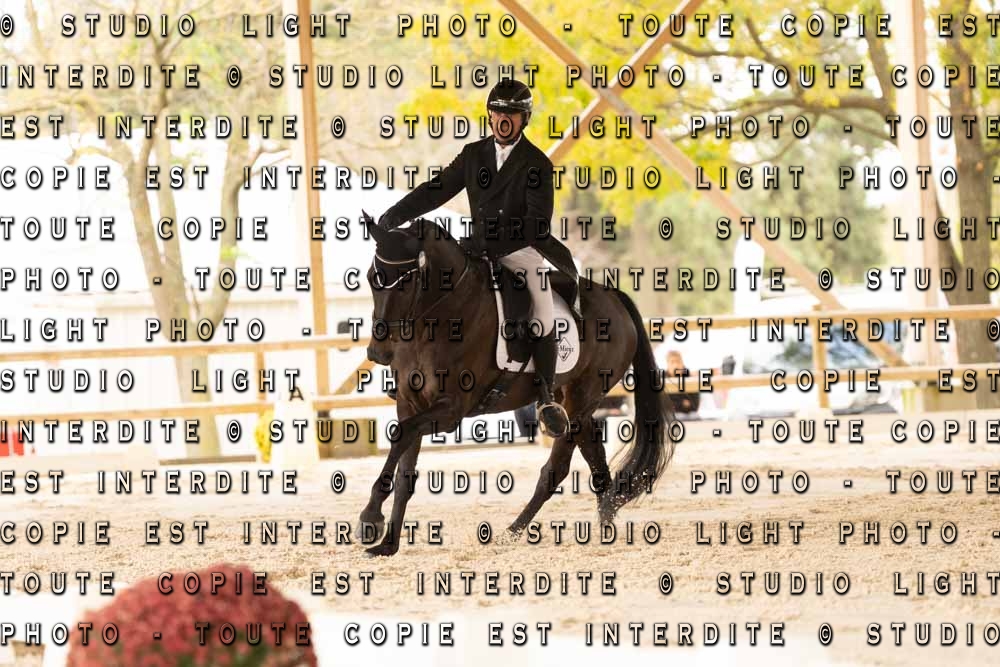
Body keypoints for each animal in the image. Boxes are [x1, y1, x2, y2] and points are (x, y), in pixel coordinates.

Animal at [356, 211, 676, 557]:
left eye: (407, 281)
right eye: (372, 278)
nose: (377, 353)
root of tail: (613, 296)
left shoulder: (450, 410)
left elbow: (401, 436)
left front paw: (370, 518)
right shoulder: (410, 402)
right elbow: (404, 467)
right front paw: (387, 543)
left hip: (583, 396)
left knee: (556, 468)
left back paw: (512, 532)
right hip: (572, 399)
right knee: (593, 452)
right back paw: (605, 520)